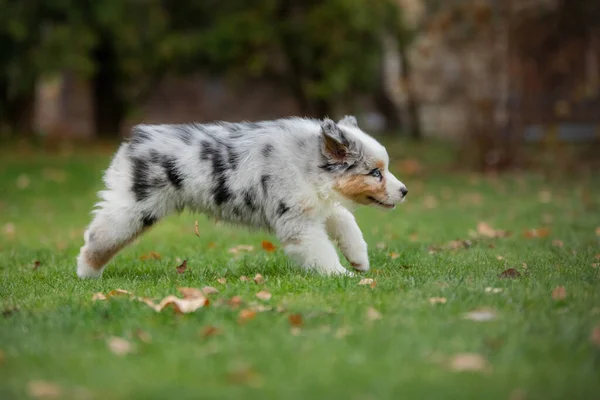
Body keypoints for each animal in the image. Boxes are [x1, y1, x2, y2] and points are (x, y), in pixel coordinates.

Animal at [74, 116, 404, 278]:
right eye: (375, 173)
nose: (404, 192)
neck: (309, 162)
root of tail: (135, 140)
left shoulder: (315, 203)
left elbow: (345, 219)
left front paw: (359, 260)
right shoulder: (298, 222)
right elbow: (321, 251)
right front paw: (342, 276)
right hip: (137, 208)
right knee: (98, 235)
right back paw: (87, 274)